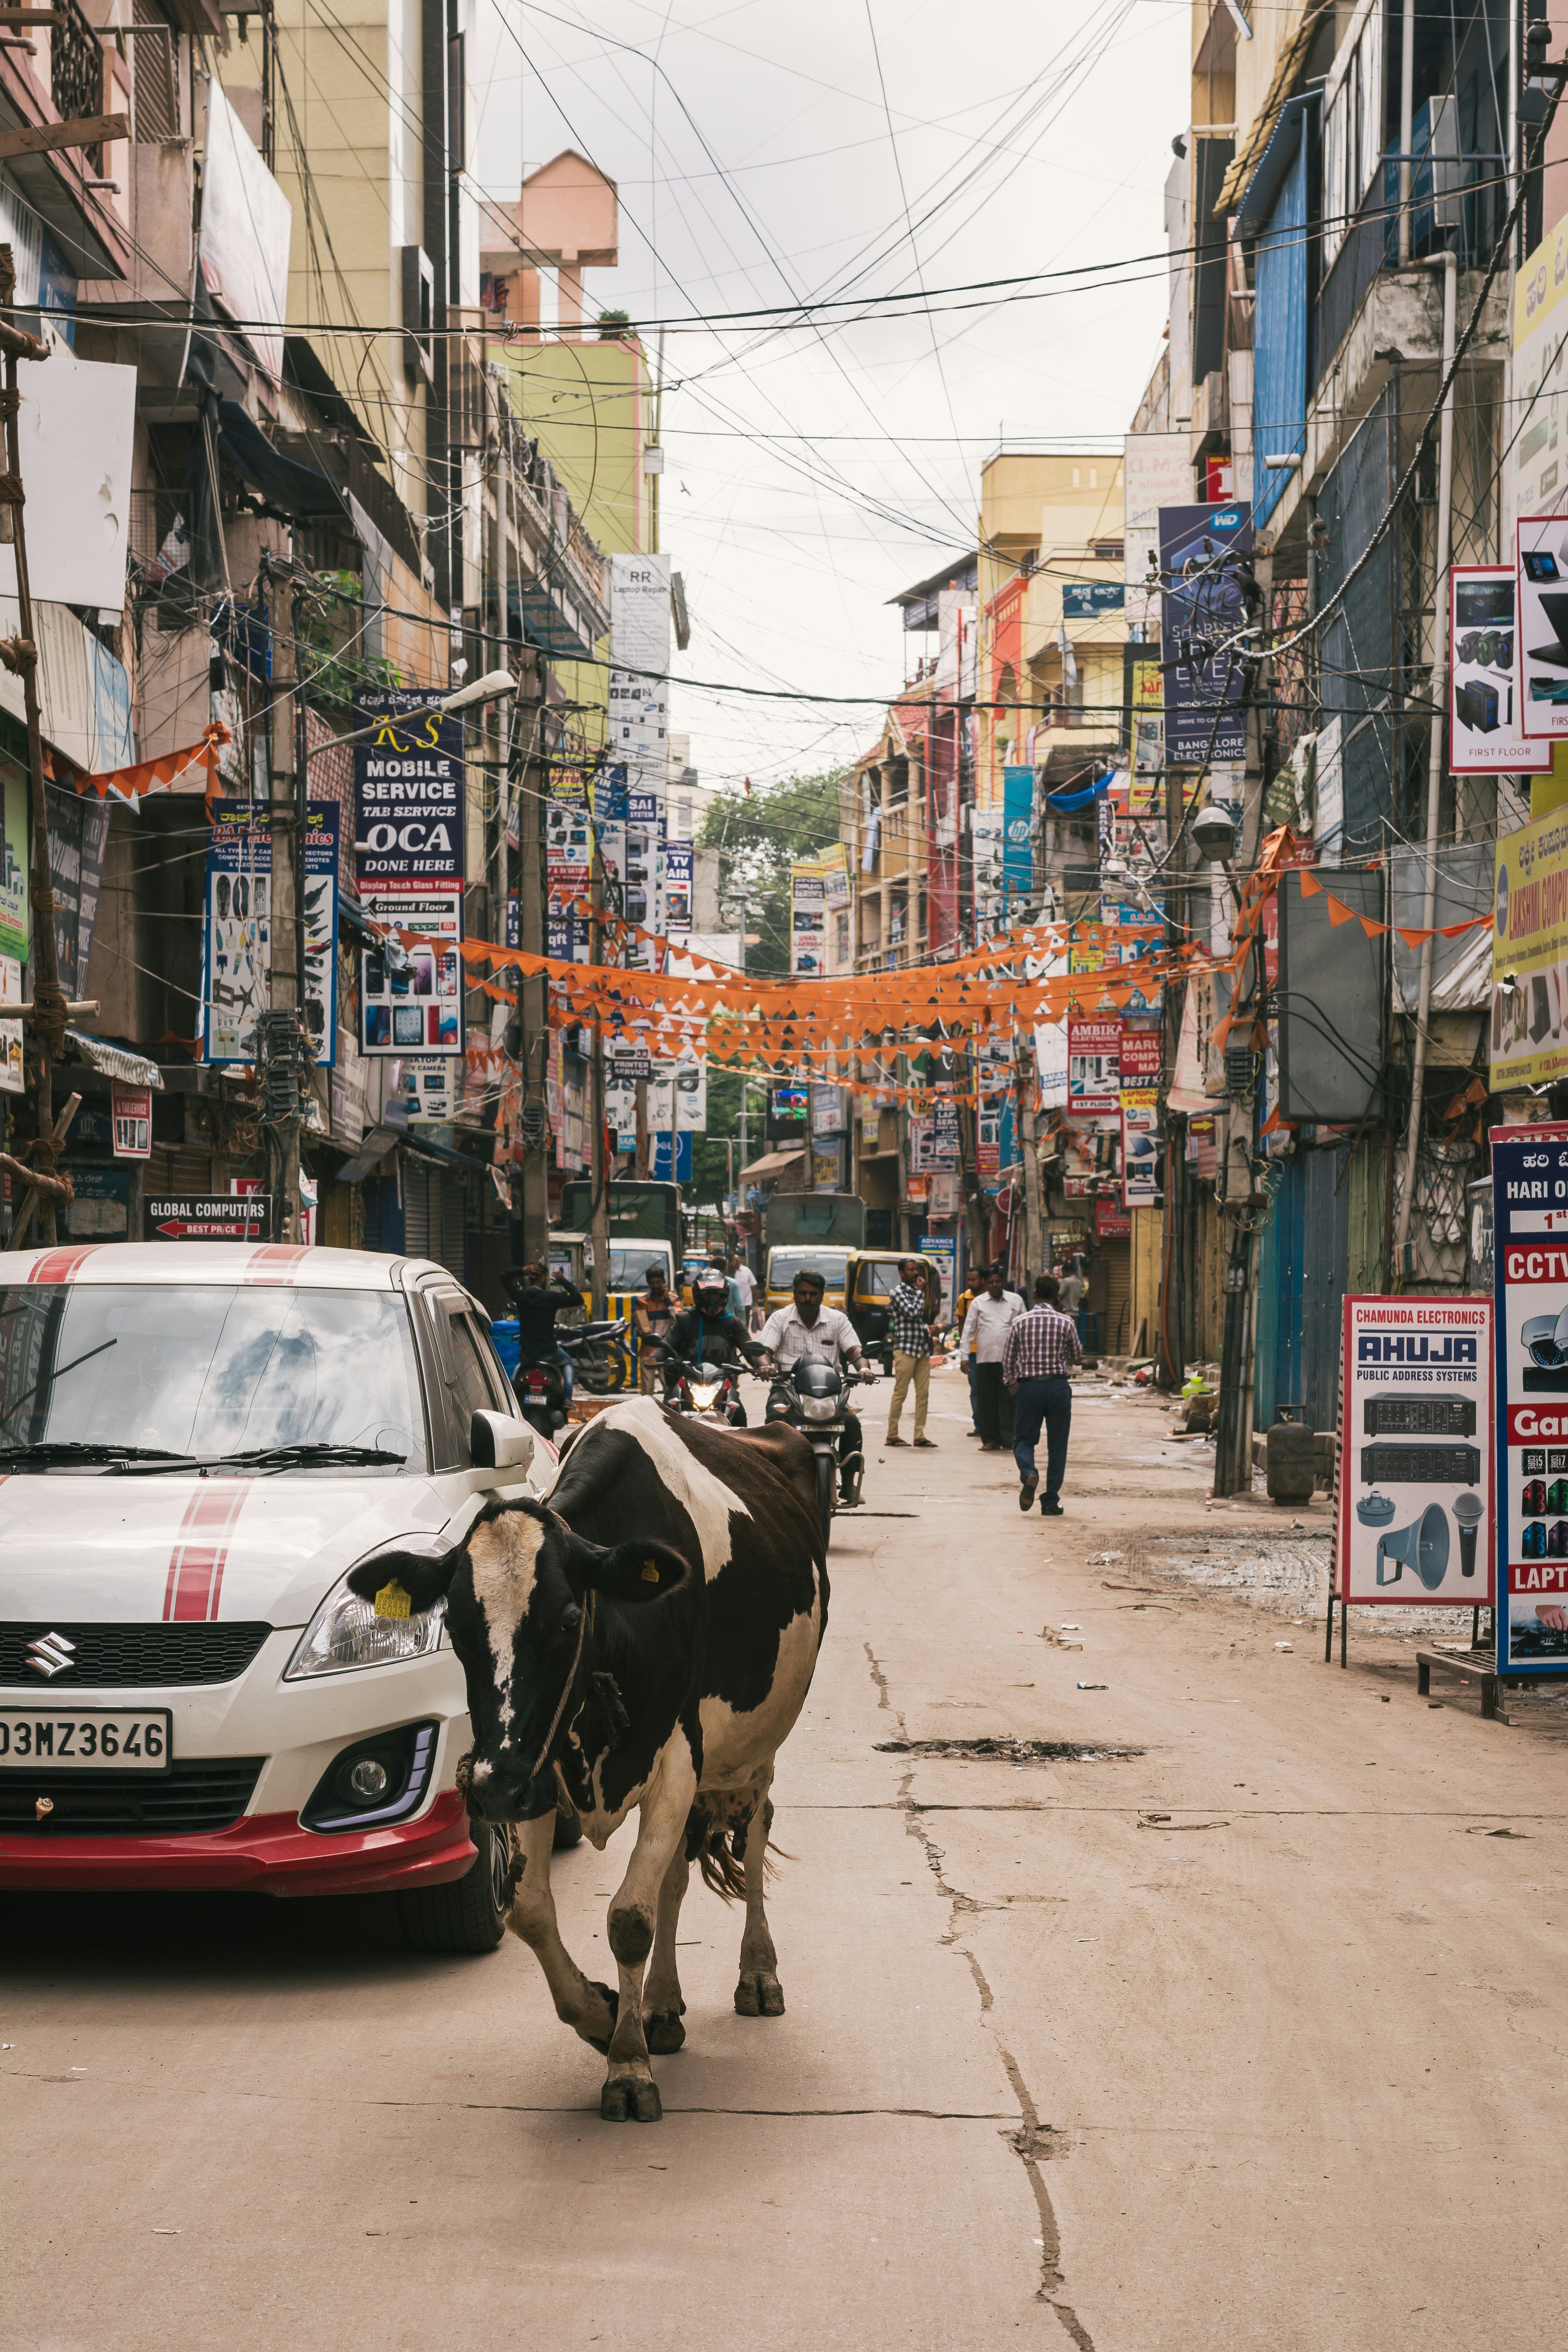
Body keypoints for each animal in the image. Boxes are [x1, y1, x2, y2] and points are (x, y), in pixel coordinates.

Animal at [346, 1396, 826, 2122]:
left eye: (569, 1620)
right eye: (454, 1627)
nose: (487, 1790)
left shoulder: (675, 1759)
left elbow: (629, 1917)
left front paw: (627, 2066)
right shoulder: (536, 1770)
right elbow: (531, 1910)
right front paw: (605, 2016)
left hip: (756, 1748)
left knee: (754, 1830)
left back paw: (757, 1973)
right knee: (673, 1879)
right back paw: (660, 2006)